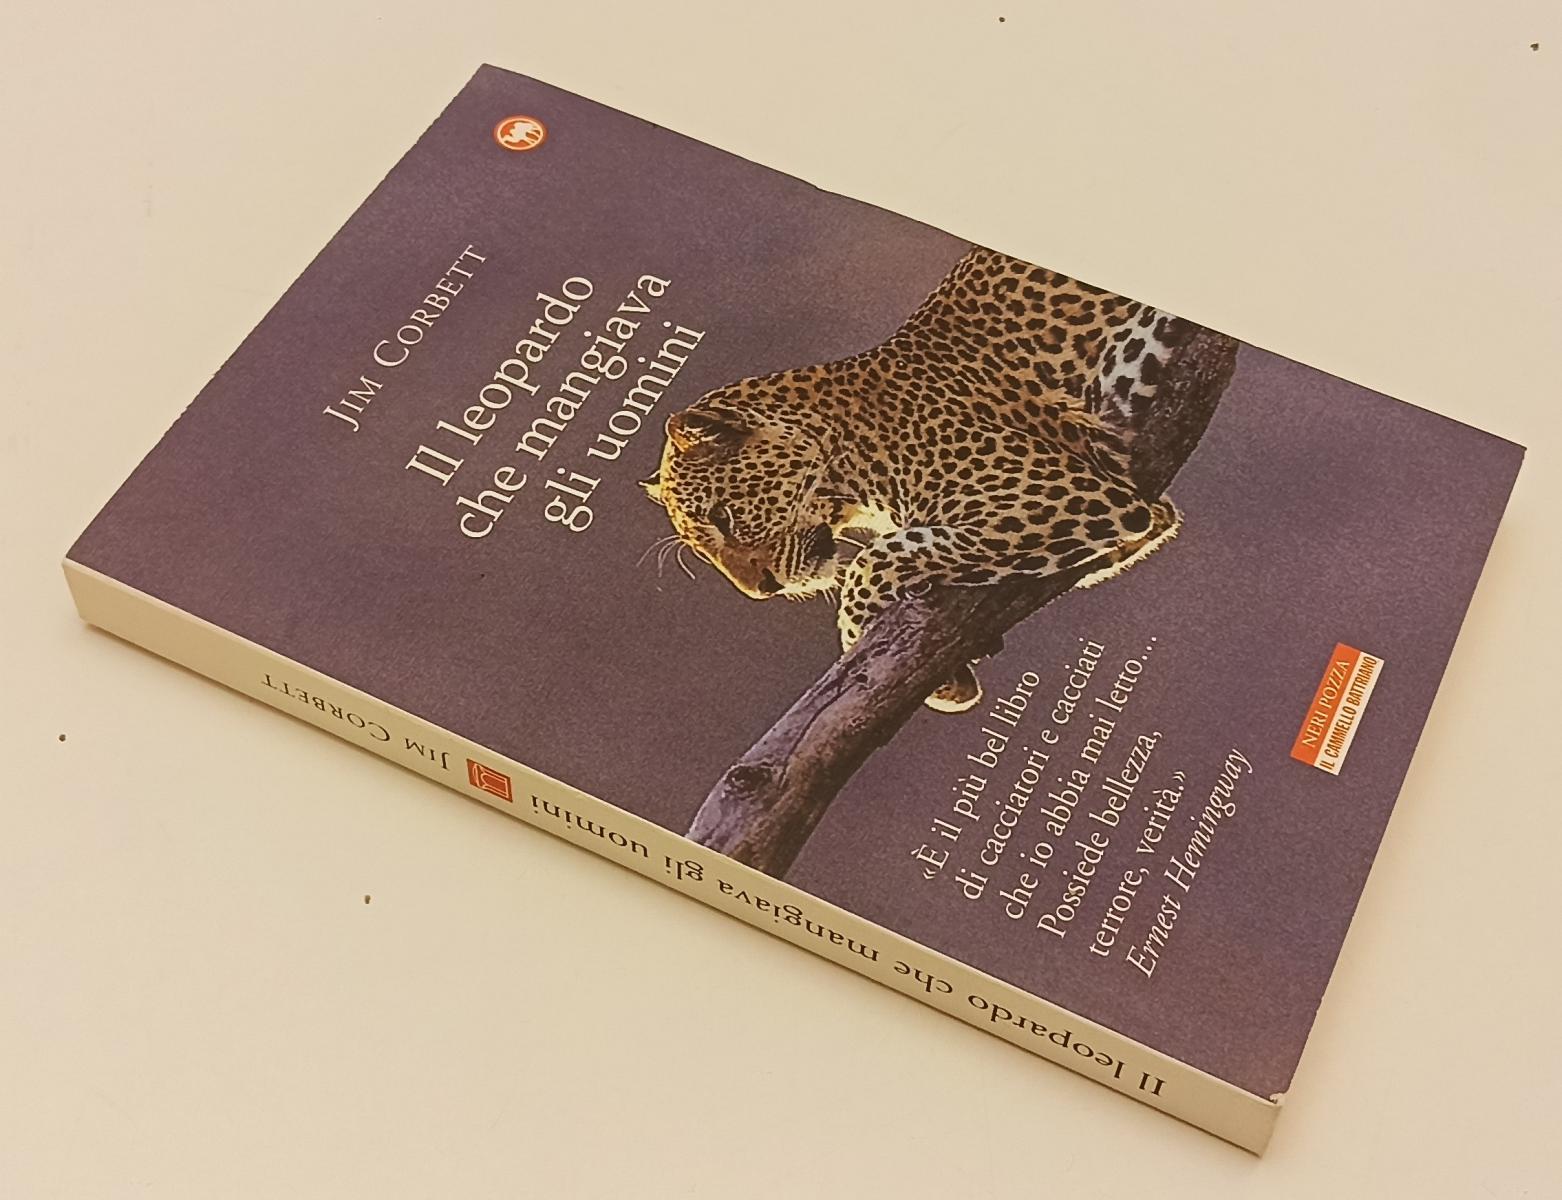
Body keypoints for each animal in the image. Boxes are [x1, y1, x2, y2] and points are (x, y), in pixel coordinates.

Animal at [640, 245, 1196, 713]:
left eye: (723, 517)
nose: (761, 591)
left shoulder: (1066, 496)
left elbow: (874, 558)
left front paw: (857, 641)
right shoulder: (1138, 502)